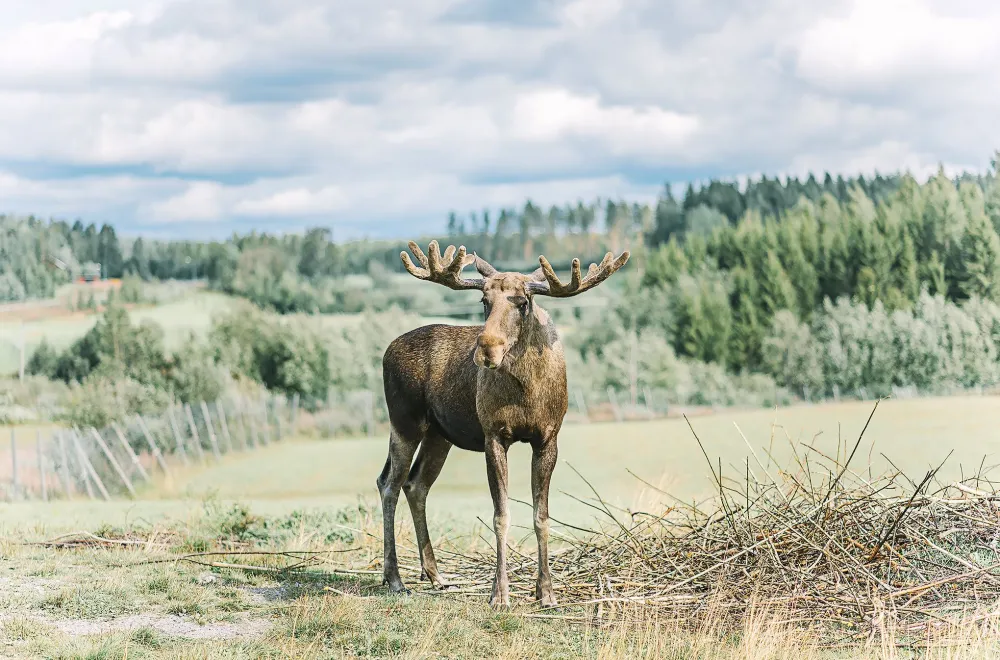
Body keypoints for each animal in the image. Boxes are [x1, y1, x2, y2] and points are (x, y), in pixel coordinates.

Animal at [378, 240, 628, 604]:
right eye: (484, 301)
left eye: (522, 302)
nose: (486, 349)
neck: (527, 391)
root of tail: (386, 352)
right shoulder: (493, 435)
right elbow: (501, 516)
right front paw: (500, 593)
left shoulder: (548, 438)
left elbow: (541, 516)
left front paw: (545, 592)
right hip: (404, 421)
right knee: (389, 485)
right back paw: (395, 578)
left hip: (439, 434)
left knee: (415, 484)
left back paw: (436, 575)